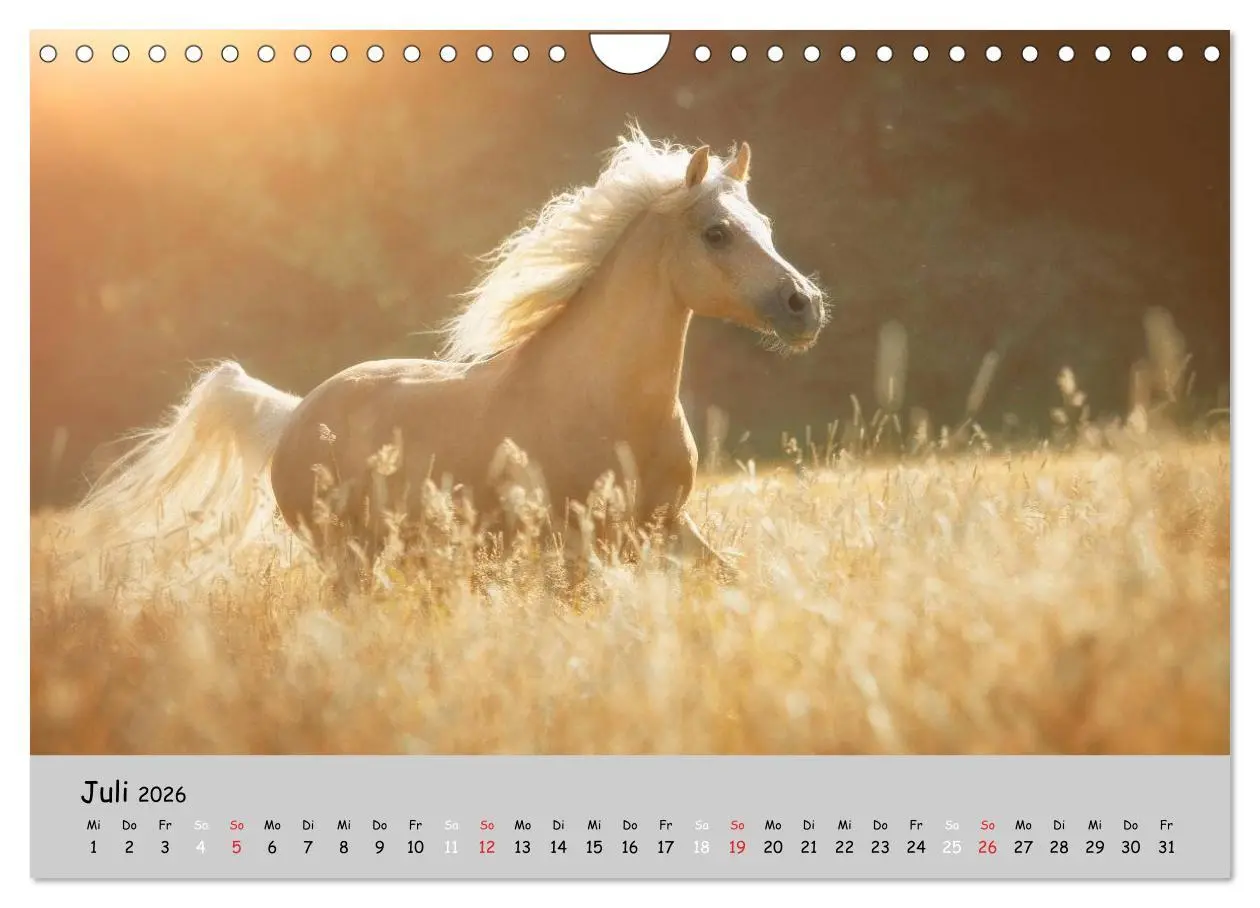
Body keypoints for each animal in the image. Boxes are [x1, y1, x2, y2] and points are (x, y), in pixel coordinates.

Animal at [73, 128, 828, 589]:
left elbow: (731, 580)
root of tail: (292, 415)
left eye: (763, 226)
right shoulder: (573, 546)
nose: (805, 305)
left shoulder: (667, 529)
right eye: (717, 232)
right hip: (348, 561)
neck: (607, 402)